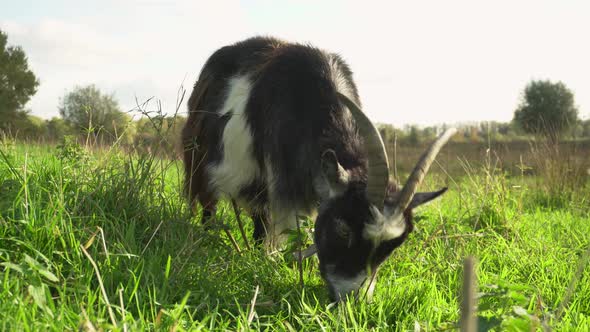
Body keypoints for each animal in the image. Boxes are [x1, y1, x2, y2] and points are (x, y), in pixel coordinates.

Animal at [183, 37, 456, 300]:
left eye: (393, 246)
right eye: (343, 229)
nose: (353, 299)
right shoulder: (283, 182)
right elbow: (289, 229)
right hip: (199, 162)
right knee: (209, 203)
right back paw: (207, 236)